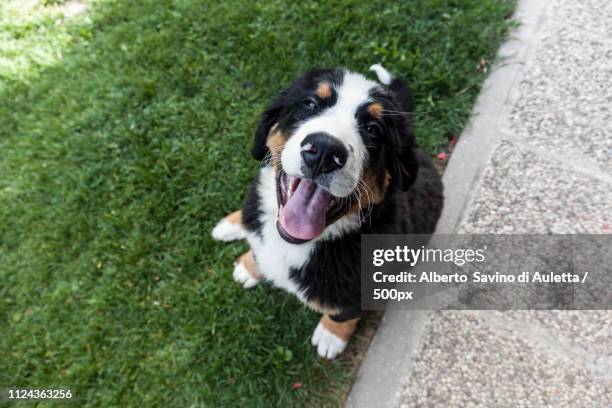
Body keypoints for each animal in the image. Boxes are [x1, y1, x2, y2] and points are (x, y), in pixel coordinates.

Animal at [213, 63, 442, 356]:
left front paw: (331, 336)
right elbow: (258, 249)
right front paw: (250, 266)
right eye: (310, 104)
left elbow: (344, 312)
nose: (323, 151)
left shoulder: (361, 286)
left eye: (373, 129)